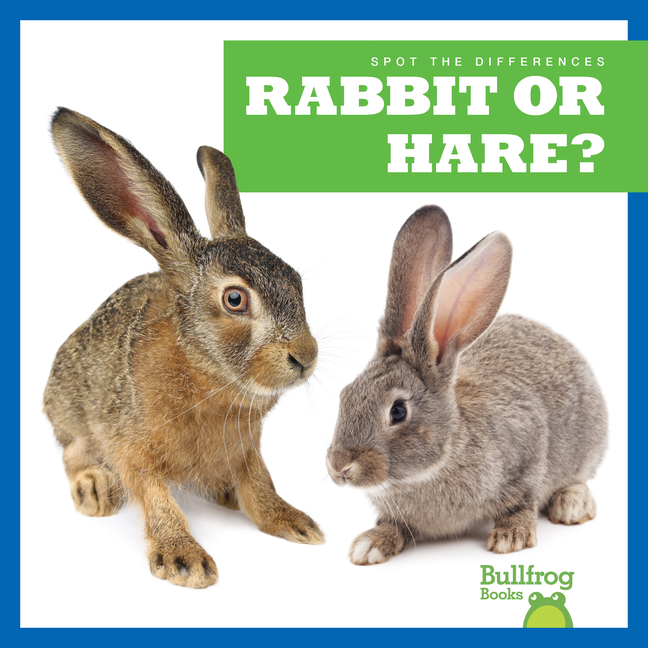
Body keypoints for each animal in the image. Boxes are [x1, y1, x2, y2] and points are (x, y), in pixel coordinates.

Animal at [43, 108, 324, 589]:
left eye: (296, 283)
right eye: (235, 299)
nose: (305, 357)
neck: (206, 377)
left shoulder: (247, 450)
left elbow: (261, 484)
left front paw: (293, 522)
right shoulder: (132, 449)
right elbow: (154, 496)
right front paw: (184, 560)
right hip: (72, 410)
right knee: (74, 451)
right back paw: (94, 489)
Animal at [326, 206, 607, 565]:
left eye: (398, 411)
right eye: (344, 395)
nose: (340, 468)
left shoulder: (526, 448)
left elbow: (523, 498)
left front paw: (511, 536)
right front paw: (371, 543)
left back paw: (572, 503)